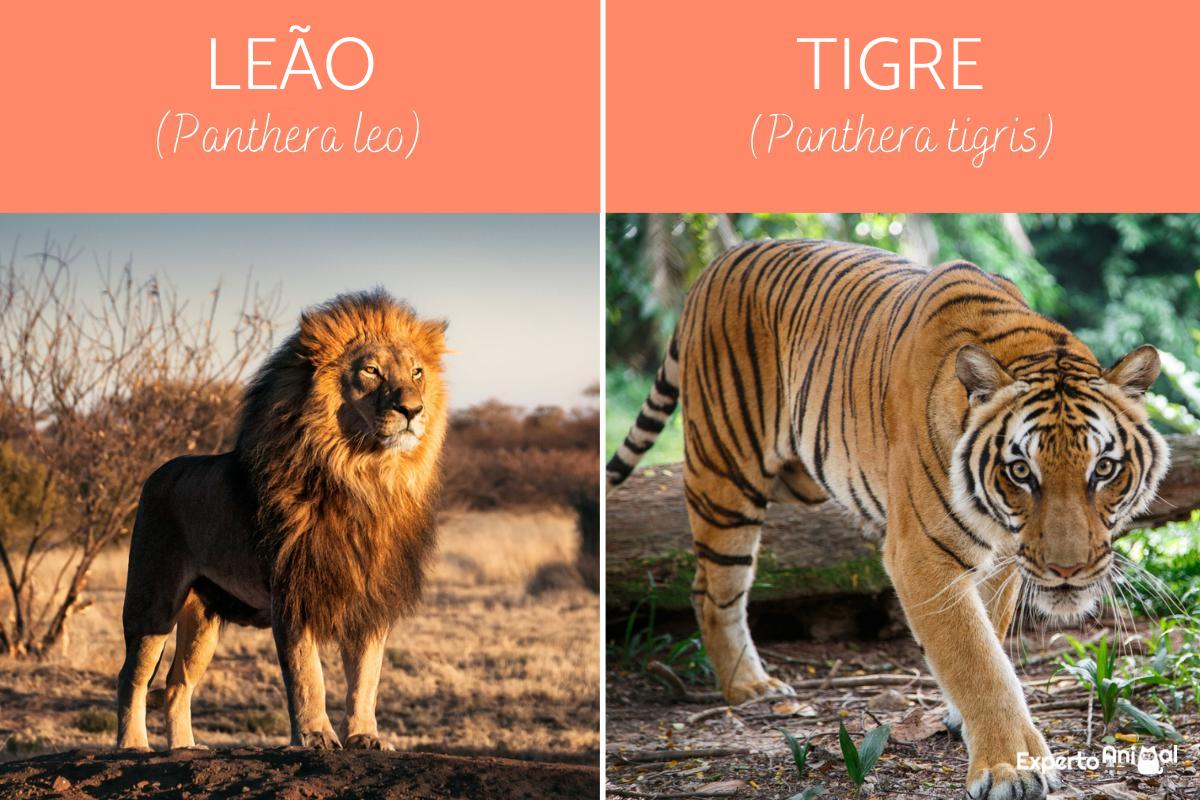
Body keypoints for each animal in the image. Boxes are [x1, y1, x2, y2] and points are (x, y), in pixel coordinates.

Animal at [117, 289, 449, 751]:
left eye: (417, 372)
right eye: (371, 370)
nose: (412, 409)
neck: (365, 477)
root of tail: (158, 472)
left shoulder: (371, 597)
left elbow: (366, 677)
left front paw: (365, 736)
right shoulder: (292, 590)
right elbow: (308, 674)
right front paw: (315, 736)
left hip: (203, 618)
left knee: (177, 683)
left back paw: (184, 747)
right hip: (153, 601)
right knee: (132, 676)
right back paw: (133, 745)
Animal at [606, 238, 1169, 799]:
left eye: (1104, 468)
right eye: (1020, 471)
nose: (1067, 570)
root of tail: (717, 265)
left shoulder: (1007, 560)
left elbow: (989, 634)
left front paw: (966, 724)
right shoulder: (921, 555)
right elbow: (978, 660)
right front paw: (1012, 768)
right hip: (725, 476)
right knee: (713, 589)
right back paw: (750, 685)